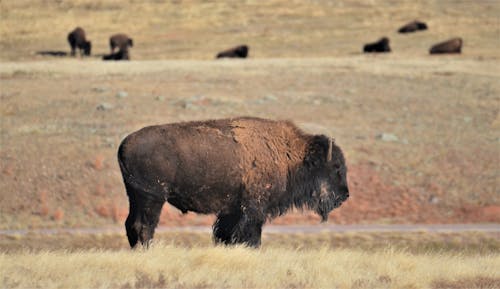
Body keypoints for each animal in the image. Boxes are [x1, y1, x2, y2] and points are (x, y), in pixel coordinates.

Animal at [118, 117, 350, 248]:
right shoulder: (253, 209)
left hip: (135, 197)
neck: (290, 156)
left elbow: (226, 234)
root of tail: (124, 145)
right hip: (152, 198)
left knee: (131, 224)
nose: (345, 194)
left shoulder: (232, 211)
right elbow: (250, 236)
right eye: (336, 167)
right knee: (144, 226)